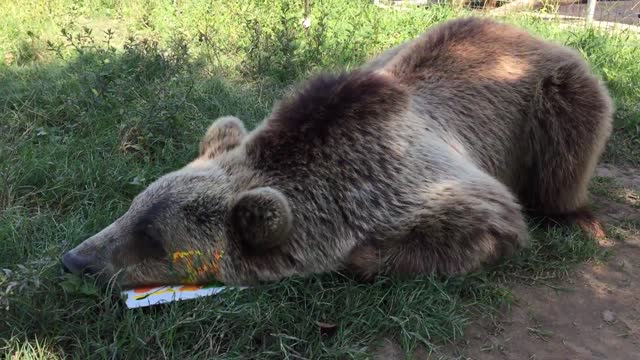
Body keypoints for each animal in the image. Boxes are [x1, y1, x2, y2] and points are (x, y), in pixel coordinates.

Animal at [62, 16, 612, 288]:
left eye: (153, 239)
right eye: (131, 208)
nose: (73, 258)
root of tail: (526, 31)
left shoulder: (418, 182)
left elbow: (490, 224)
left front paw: (363, 259)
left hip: (555, 97)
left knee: (566, 155)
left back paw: (578, 215)